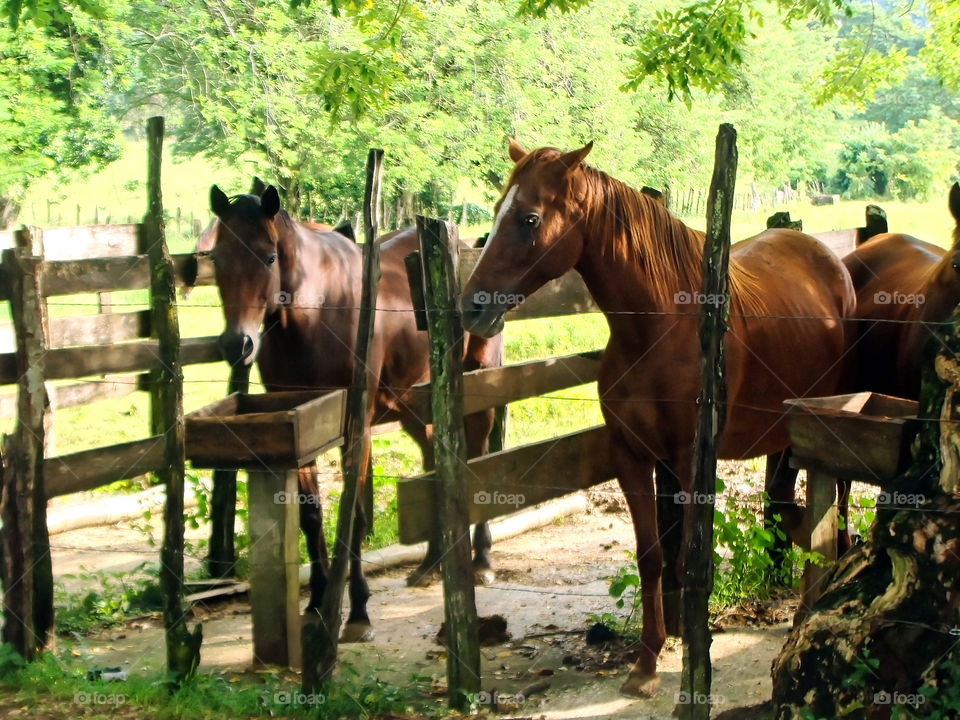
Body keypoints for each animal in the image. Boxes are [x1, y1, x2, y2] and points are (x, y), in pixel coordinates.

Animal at [207, 184, 503, 641]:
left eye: (269, 257)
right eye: (217, 258)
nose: (236, 344)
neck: (316, 313)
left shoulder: (356, 426)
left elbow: (356, 517)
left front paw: (359, 611)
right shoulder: (301, 429)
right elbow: (311, 517)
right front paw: (316, 603)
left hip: (478, 381)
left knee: (482, 456)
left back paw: (482, 560)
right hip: (414, 405)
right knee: (434, 458)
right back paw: (430, 563)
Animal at [459, 140, 856, 696]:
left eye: (530, 218)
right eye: (496, 211)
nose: (471, 307)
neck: (660, 326)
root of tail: (829, 260)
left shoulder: (690, 460)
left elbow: (689, 559)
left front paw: (693, 649)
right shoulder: (631, 454)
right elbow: (651, 556)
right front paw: (646, 662)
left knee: (836, 504)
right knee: (784, 503)